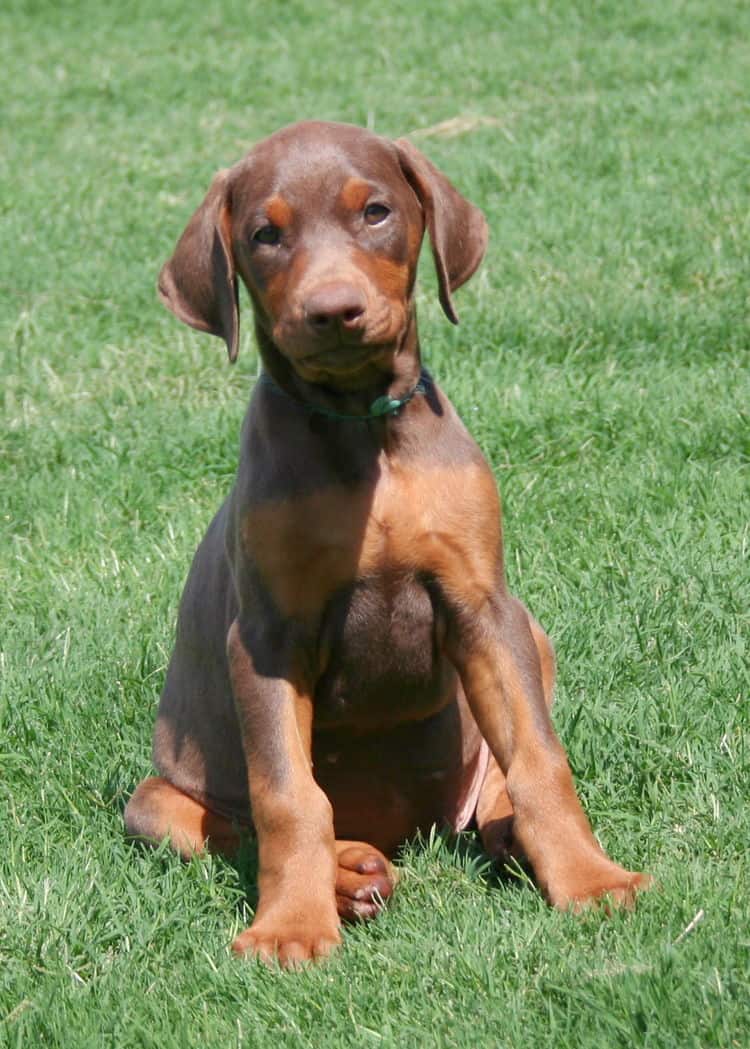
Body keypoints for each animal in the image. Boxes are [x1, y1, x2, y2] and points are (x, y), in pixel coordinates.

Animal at [124, 122, 650, 965]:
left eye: (375, 212)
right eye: (264, 235)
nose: (334, 310)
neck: (359, 427)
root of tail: (405, 830)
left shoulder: (481, 605)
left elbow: (540, 757)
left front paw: (588, 877)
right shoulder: (267, 636)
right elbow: (288, 795)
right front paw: (291, 924)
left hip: (531, 631)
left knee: (498, 777)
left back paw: (503, 834)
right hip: (155, 800)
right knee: (240, 824)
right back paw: (350, 874)